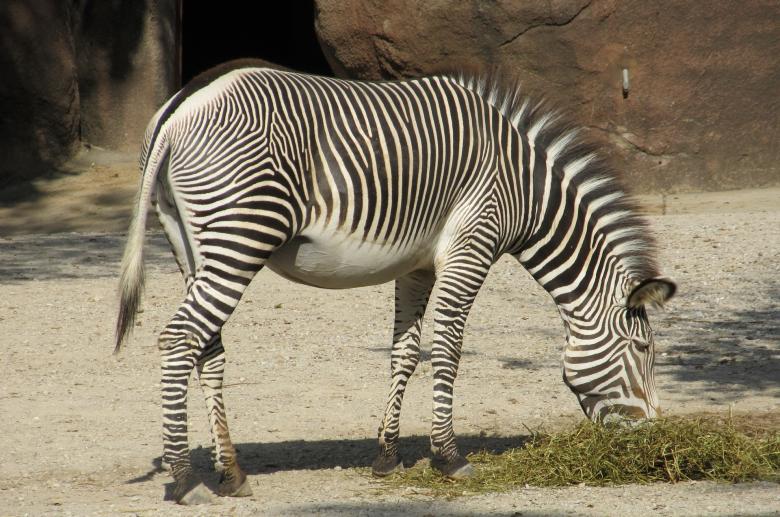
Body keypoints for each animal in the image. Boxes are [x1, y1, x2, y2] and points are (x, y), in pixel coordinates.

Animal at [115, 60, 676, 504]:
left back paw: (231, 473)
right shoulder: (471, 247)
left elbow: (405, 352)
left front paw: (387, 455)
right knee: (179, 338)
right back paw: (186, 480)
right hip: (241, 234)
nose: (654, 436)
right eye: (643, 348)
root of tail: (180, 106)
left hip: (191, 243)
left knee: (207, 349)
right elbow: (448, 350)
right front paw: (449, 456)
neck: (525, 189)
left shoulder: (418, 264)